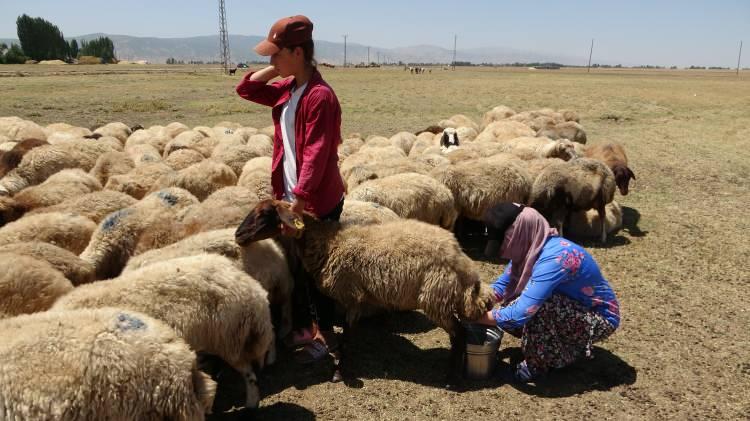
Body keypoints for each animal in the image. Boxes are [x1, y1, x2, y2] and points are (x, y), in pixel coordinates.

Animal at [235, 199, 494, 386]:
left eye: (263, 214)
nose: (238, 235)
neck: (330, 244)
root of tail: (460, 259)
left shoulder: (351, 296)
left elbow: (347, 337)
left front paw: (339, 371)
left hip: (435, 298)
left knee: (459, 334)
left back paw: (452, 378)